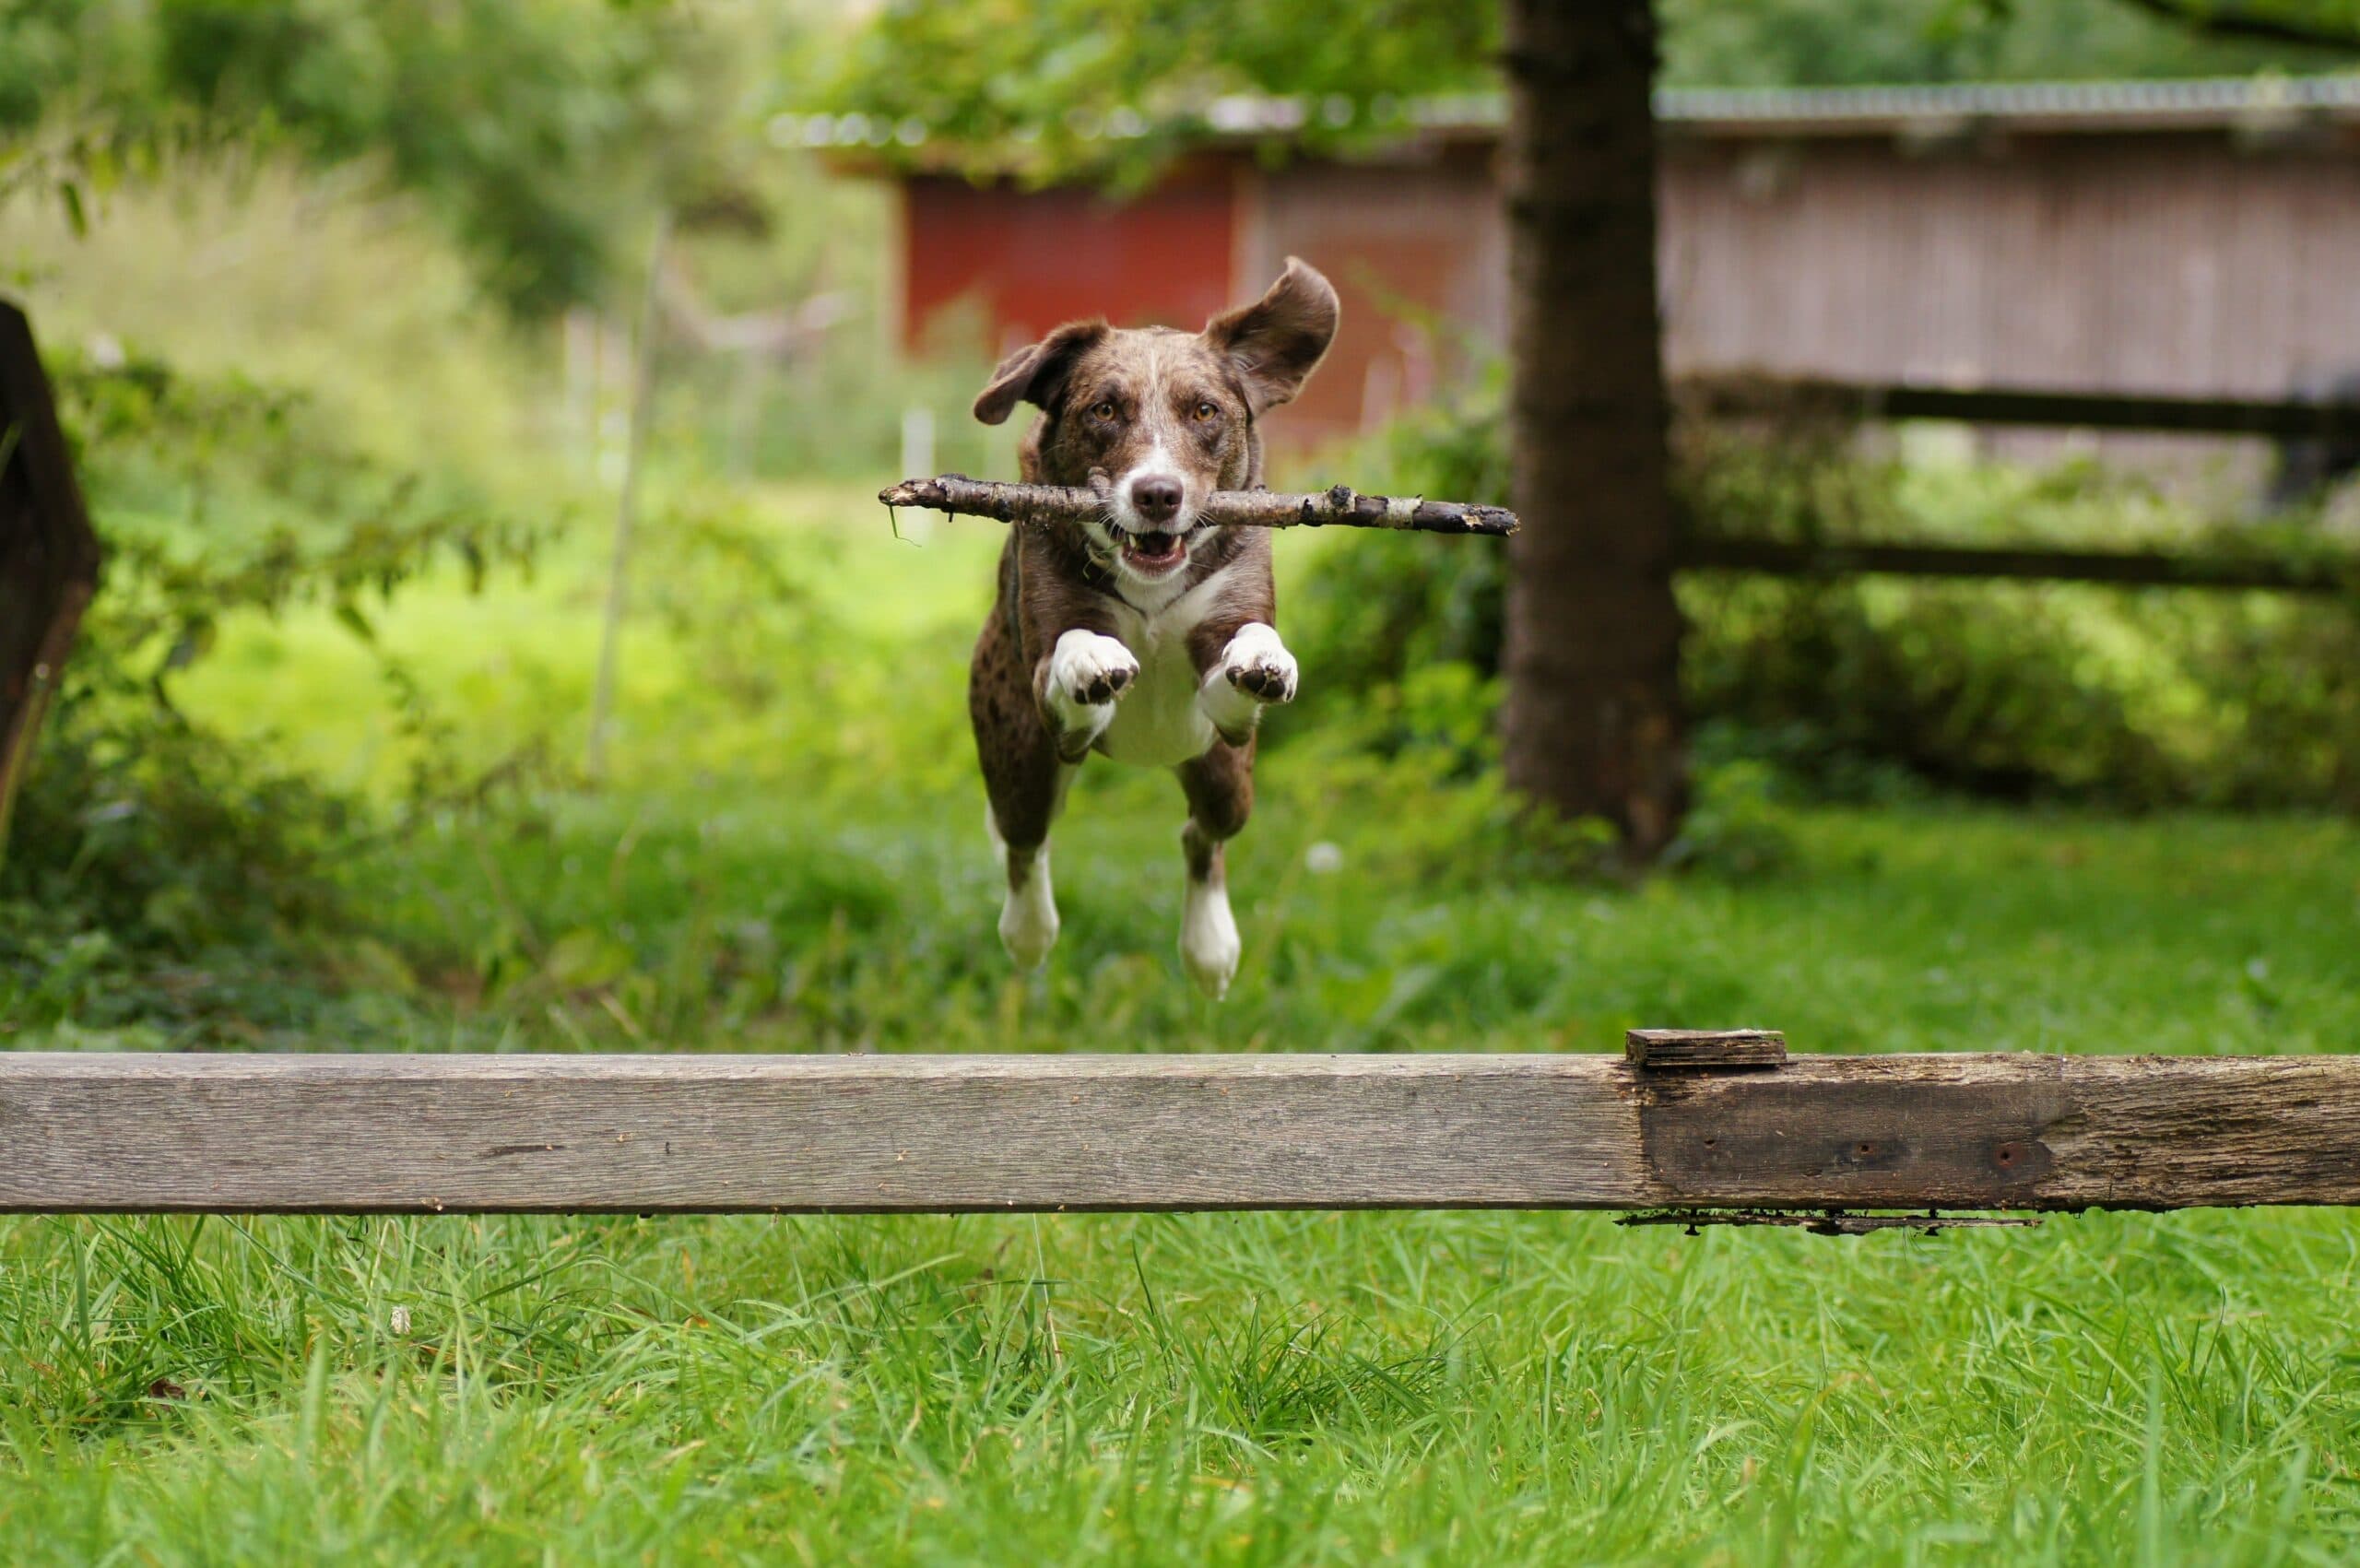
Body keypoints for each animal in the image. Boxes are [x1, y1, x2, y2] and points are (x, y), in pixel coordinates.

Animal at [962, 255, 1340, 991]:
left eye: (1205, 411)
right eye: (1105, 409)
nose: (1158, 494)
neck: (1152, 585)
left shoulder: (1224, 707)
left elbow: (1242, 649)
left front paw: (1264, 661)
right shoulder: (1048, 691)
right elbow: (1073, 647)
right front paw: (1092, 661)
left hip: (1227, 778)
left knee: (1203, 833)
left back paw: (1209, 946)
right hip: (1019, 755)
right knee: (1025, 841)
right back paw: (1028, 933)